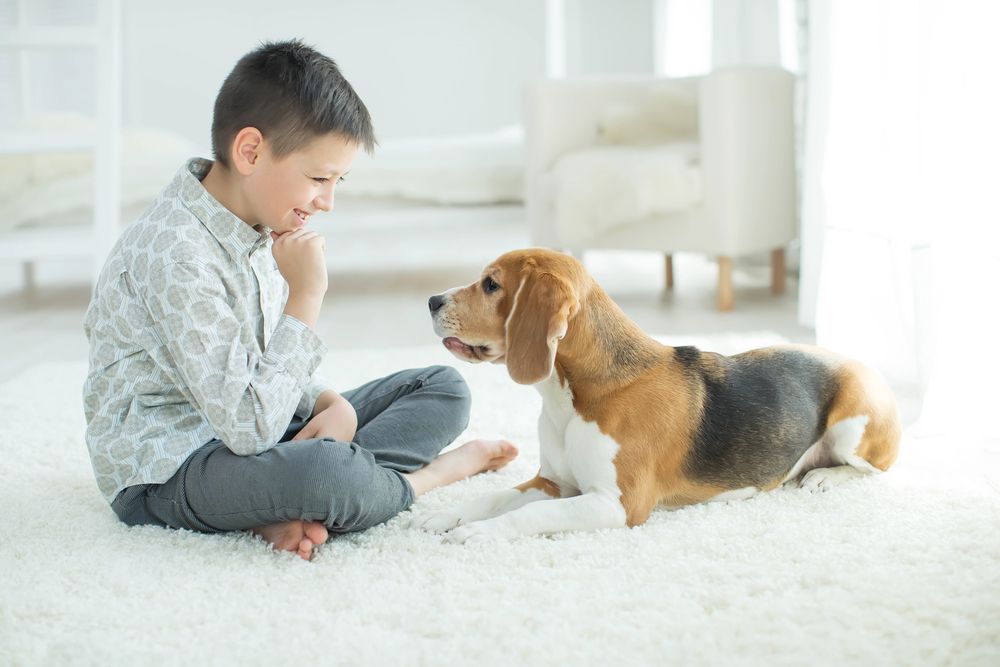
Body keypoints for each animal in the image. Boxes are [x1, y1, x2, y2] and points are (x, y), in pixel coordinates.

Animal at [410, 248, 904, 544]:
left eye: (491, 284)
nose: (431, 301)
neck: (574, 398)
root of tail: (862, 364)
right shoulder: (552, 483)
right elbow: (491, 498)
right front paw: (450, 515)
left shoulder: (617, 505)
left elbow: (526, 517)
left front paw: (481, 533)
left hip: (853, 429)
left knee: (874, 469)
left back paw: (823, 477)